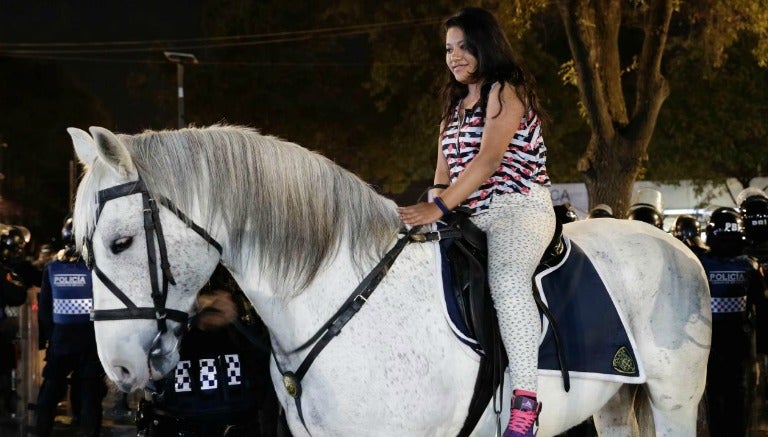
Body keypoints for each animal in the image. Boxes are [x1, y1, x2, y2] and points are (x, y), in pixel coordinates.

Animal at [69, 124, 712, 434]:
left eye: (120, 243)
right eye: (80, 247)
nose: (118, 369)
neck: (343, 295)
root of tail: (677, 248)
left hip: (675, 401)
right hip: (616, 403)